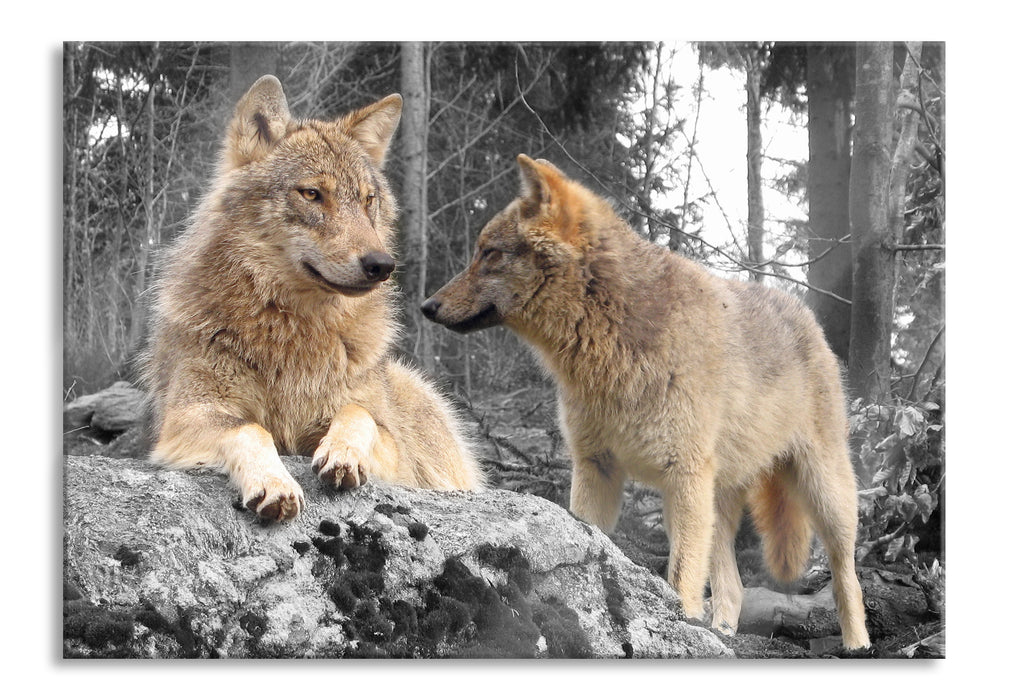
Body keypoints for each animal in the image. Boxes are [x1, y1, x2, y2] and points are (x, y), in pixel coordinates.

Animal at [139, 75, 483, 522]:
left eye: (368, 200)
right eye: (312, 194)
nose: (381, 264)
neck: (292, 327)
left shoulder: (393, 449)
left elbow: (359, 414)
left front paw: (343, 452)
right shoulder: (186, 418)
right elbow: (252, 429)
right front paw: (274, 481)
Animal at [421, 154, 870, 649]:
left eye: (489, 253)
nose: (427, 306)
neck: (610, 341)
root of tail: (806, 314)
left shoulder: (683, 477)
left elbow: (681, 578)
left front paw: (679, 626)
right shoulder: (595, 468)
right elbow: (593, 540)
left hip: (823, 495)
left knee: (847, 577)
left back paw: (857, 644)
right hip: (718, 506)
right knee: (732, 588)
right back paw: (721, 633)